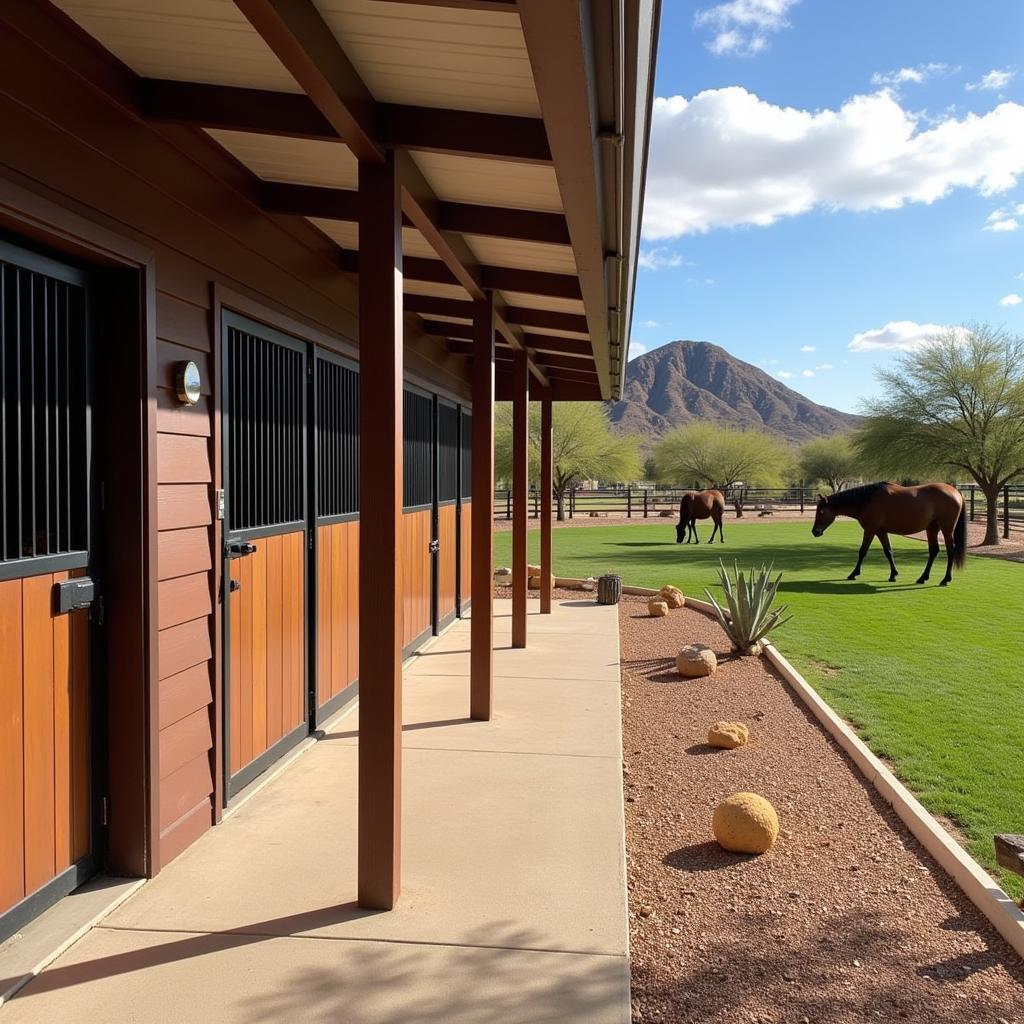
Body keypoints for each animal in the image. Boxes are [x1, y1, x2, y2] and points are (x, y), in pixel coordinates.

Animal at [806, 483, 966, 589]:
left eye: (821, 512)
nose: (815, 532)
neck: (868, 500)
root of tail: (955, 491)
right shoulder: (881, 532)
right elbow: (888, 552)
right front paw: (893, 574)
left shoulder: (870, 530)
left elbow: (862, 552)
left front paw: (853, 573)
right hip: (932, 528)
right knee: (934, 551)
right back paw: (922, 578)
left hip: (946, 529)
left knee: (950, 551)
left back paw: (945, 579)